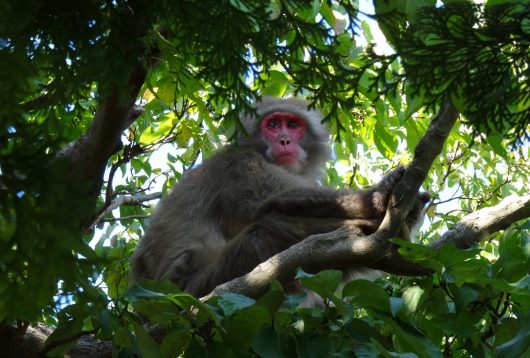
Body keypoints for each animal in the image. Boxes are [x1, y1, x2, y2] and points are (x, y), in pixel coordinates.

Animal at [130, 95, 426, 296]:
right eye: (272, 125)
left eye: (292, 125)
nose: (284, 140)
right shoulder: (240, 164)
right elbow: (278, 199)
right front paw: (378, 196)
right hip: (201, 283)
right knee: (268, 227)